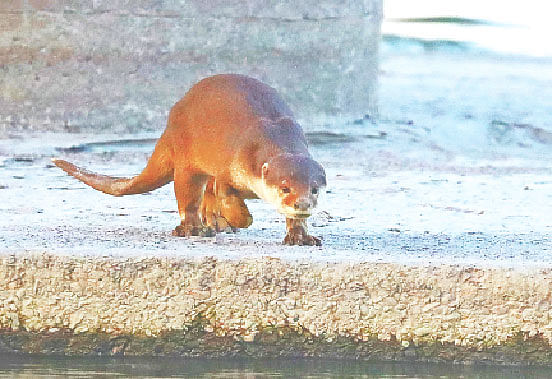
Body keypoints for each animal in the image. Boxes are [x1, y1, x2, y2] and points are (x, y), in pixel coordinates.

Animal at [51, 74, 326, 246]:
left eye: (314, 189)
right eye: (285, 187)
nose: (302, 203)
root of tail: (173, 117)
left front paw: (300, 236)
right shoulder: (232, 164)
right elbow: (227, 195)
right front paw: (241, 218)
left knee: (207, 192)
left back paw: (215, 222)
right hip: (186, 159)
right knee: (189, 194)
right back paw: (196, 228)